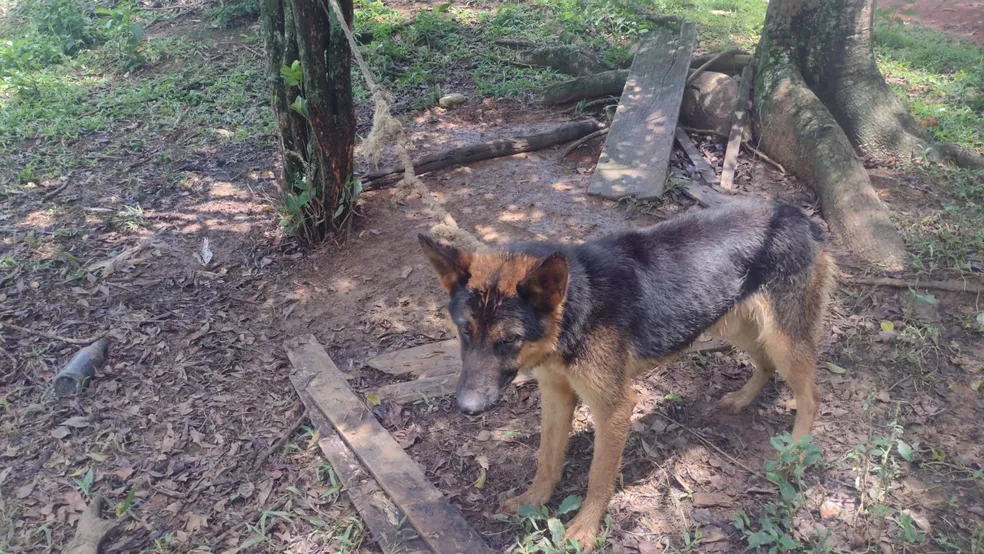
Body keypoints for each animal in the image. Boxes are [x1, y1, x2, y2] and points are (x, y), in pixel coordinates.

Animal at [418, 197, 836, 544]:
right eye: (465, 331)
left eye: (509, 339)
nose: (467, 408)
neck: (578, 305)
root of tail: (799, 216)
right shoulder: (555, 395)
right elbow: (547, 457)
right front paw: (534, 499)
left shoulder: (614, 408)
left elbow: (598, 477)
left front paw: (584, 529)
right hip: (738, 326)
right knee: (765, 365)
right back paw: (743, 399)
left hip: (782, 339)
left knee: (812, 395)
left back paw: (796, 450)